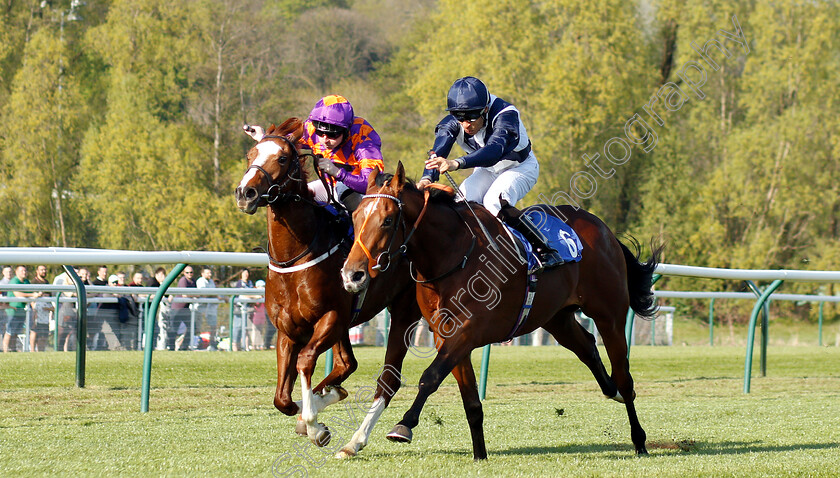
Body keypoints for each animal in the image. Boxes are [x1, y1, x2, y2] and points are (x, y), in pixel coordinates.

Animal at [235, 118, 424, 456]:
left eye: (282, 158)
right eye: (250, 155)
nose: (246, 192)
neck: (297, 256)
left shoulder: (331, 317)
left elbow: (305, 362)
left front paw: (314, 425)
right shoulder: (288, 328)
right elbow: (282, 399)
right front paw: (313, 412)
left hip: (404, 311)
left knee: (386, 376)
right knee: (347, 363)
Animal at [342, 163, 664, 460]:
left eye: (387, 220)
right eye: (355, 217)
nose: (352, 275)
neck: (454, 255)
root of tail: (604, 229)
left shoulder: (468, 330)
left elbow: (430, 376)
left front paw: (404, 425)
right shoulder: (446, 334)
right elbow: (470, 401)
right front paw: (480, 455)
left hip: (610, 315)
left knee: (624, 375)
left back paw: (639, 440)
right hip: (556, 317)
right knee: (587, 346)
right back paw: (612, 391)